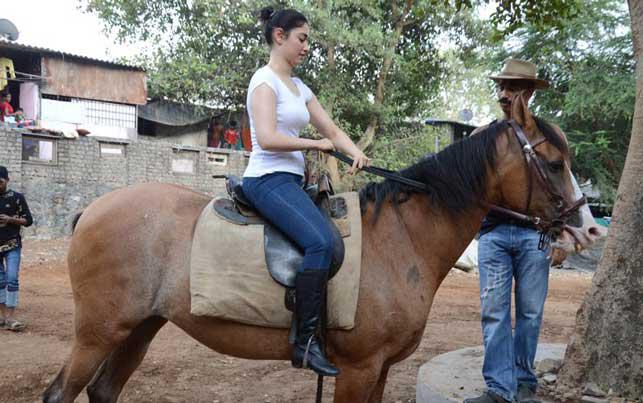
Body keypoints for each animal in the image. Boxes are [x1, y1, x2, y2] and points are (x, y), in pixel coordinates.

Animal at [44, 103, 600, 400]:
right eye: (554, 163)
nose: (589, 228)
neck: (401, 238)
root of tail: (92, 210)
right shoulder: (358, 368)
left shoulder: (381, 369)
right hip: (97, 332)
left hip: (139, 327)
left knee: (103, 390)